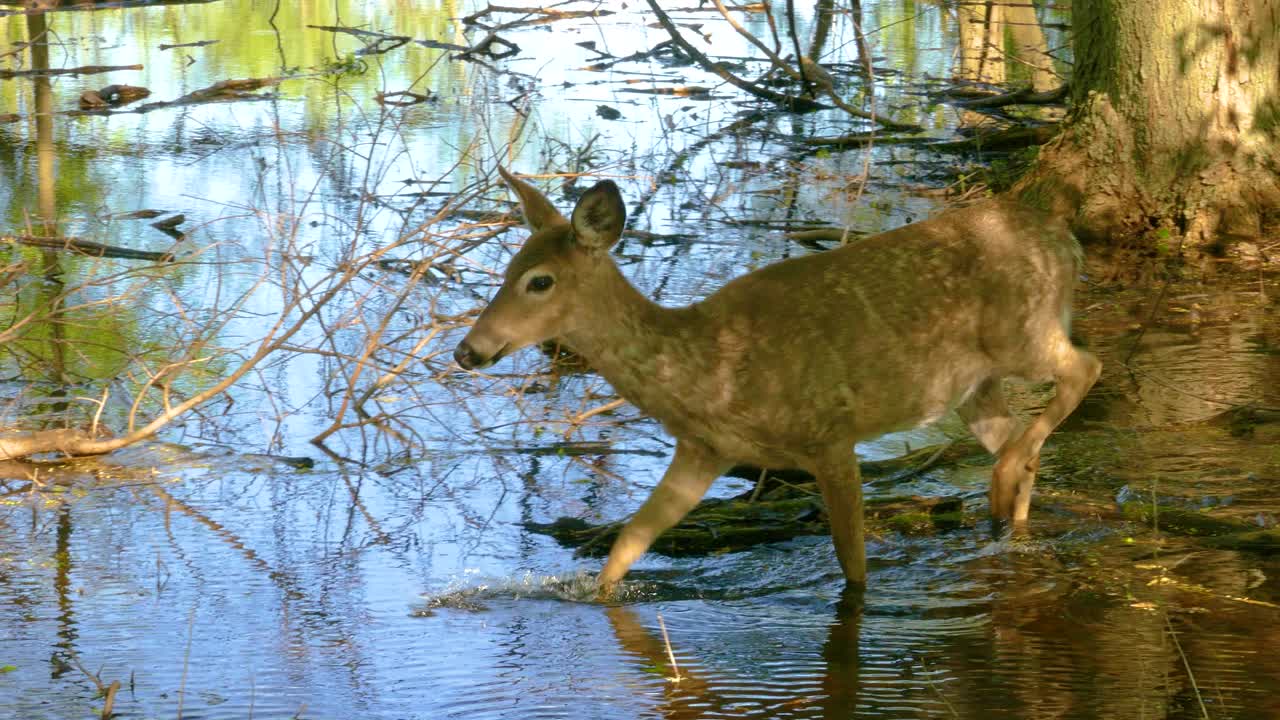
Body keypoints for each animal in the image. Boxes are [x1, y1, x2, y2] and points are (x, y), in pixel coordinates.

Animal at [455, 167, 1101, 597]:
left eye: (539, 280)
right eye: (506, 268)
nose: (467, 350)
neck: (709, 371)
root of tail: (1067, 241)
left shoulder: (831, 434)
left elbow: (853, 566)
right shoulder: (702, 451)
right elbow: (630, 541)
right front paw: (595, 596)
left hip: (1024, 331)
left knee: (1085, 366)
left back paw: (1006, 476)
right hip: (973, 387)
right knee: (1021, 438)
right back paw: (1009, 504)